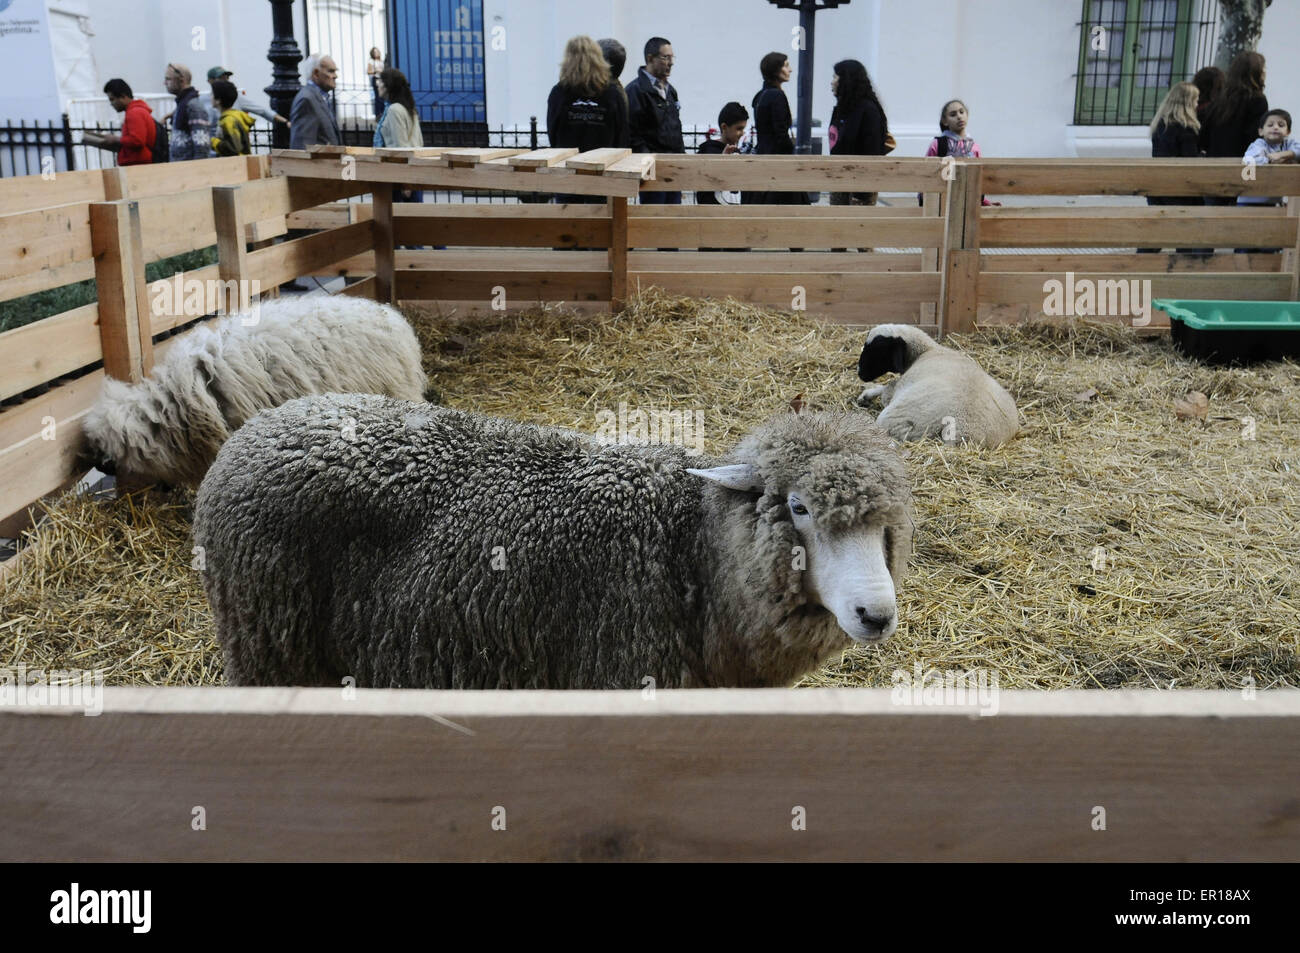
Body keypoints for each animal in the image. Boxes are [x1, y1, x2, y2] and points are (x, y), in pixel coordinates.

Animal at [195, 395, 915, 691]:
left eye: (886, 526)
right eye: (798, 507)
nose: (877, 614)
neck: (691, 555)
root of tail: (248, 436)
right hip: (271, 647)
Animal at [857, 323, 1019, 449]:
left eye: (877, 350)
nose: (860, 373)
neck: (928, 351)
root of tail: (963, 431)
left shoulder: (899, 386)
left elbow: (887, 389)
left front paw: (867, 395)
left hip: (896, 418)